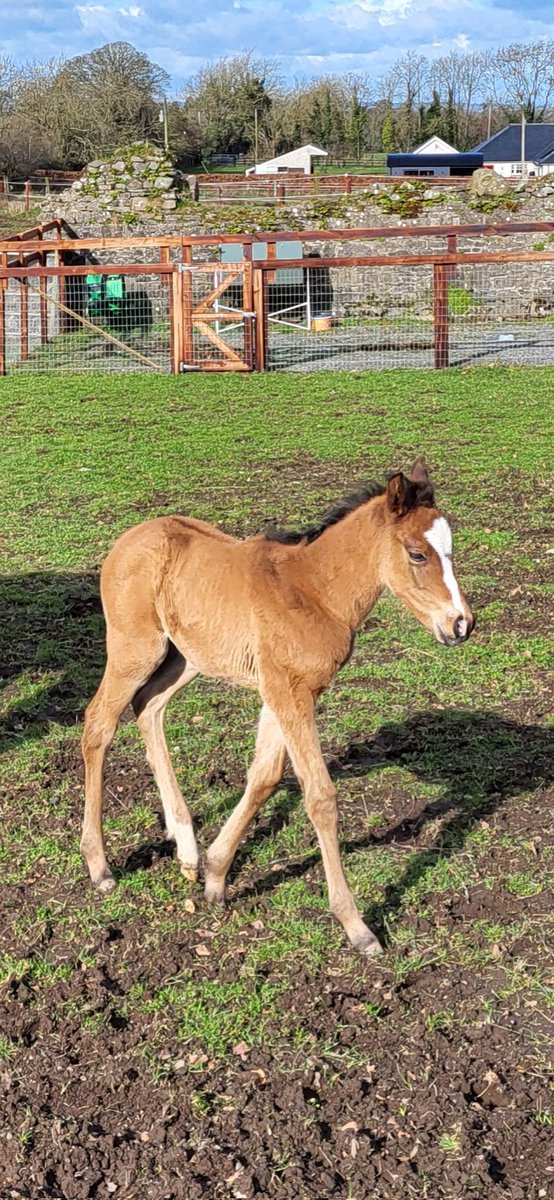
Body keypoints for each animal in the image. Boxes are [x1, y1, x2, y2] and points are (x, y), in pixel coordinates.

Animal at [80, 458, 472, 955]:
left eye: (451, 550)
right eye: (417, 555)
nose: (461, 624)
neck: (315, 593)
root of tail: (128, 539)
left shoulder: (282, 691)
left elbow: (265, 777)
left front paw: (215, 875)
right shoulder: (289, 693)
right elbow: (320, 795)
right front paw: (356, 925)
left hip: (186, 657)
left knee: (148, 707)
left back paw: (186, 846)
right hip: (135, 650)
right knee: (99, 723)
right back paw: (100, 865)